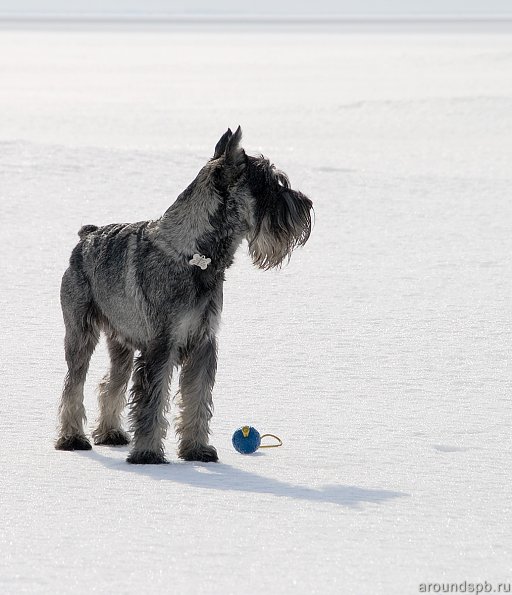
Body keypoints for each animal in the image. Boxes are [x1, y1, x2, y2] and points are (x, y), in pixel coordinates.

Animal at [55, 128, 312, 466]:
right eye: (269, 185)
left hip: (122, 342)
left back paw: (110, 433)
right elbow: (152, 402)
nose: (307, 205)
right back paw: (72, 438)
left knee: (111, 383)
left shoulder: (203, 342)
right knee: (74, 383)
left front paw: (196, 449)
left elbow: (197, 399)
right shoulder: (161, 346)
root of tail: (87, 236)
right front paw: (148, 453)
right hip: (80, 333)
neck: (194, 255)